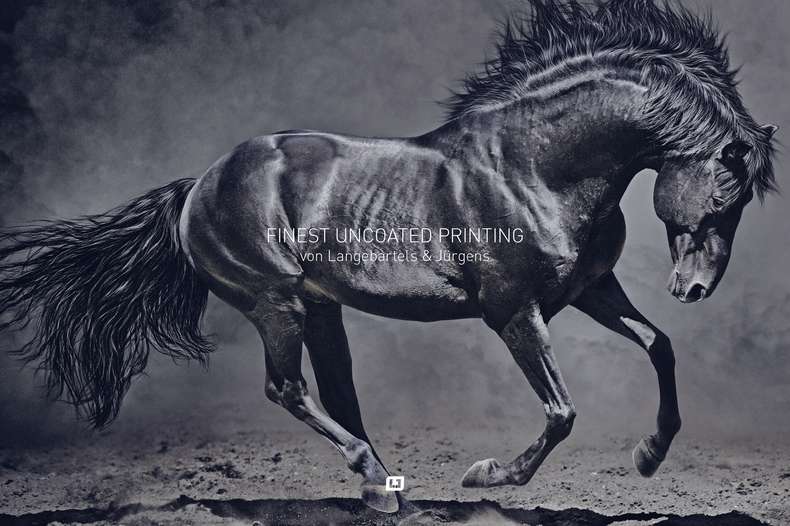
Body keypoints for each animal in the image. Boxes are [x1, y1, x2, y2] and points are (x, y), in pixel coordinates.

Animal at [0, 0, 778, 514]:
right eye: (724, 194)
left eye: (741, 204)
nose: (695, 288)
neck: (533, 167)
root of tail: (197, 186)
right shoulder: (513, 311)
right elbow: (562, 411)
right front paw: (486, 477)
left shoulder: (592, 289)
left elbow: (659, 346)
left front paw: (650, 456)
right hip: (274, 302)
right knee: (289, 389)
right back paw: (376, 479)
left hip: (318, 308)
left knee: (335, 389)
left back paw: (382, 487)